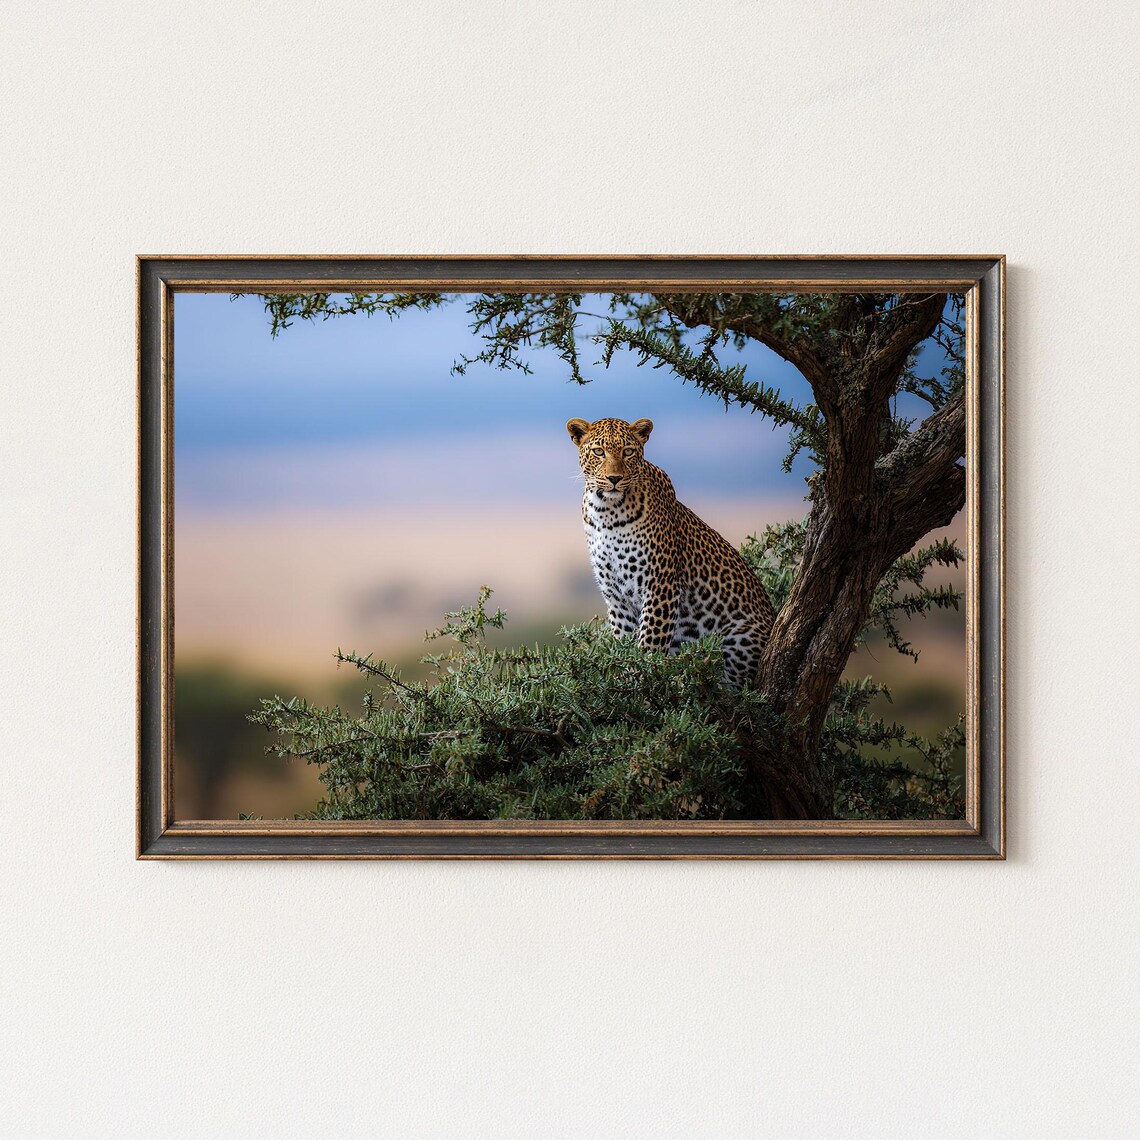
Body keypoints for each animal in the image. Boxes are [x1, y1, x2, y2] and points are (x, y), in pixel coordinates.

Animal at [567, 416, 776, 688]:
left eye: (628, 451)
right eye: (599, 452)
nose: (614, 478)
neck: (606, 512)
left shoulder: (660, 586)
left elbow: (648, 647)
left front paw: (640, 687)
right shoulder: (617, 597)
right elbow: (625, 644)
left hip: (738, 637)